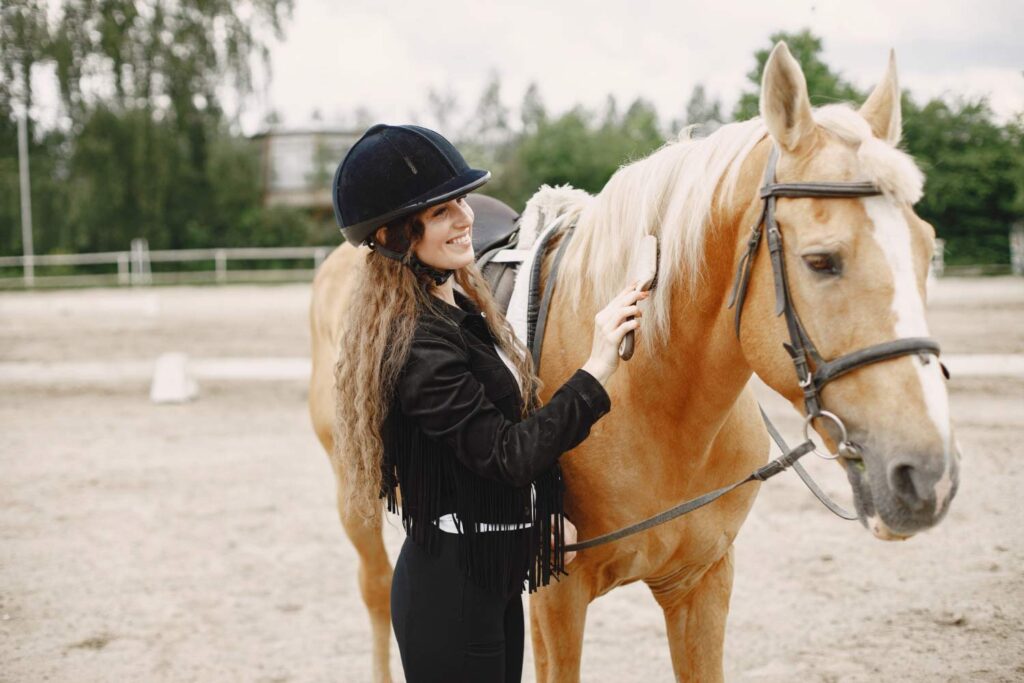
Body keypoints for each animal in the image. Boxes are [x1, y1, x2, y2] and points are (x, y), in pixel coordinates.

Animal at [305, 44, 958, 683]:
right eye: (821, 261)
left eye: (928, 249)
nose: (929, 476)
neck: (658, 404)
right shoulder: (556, 598)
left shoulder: (702, 583)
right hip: (353, 494)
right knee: (377, 589)